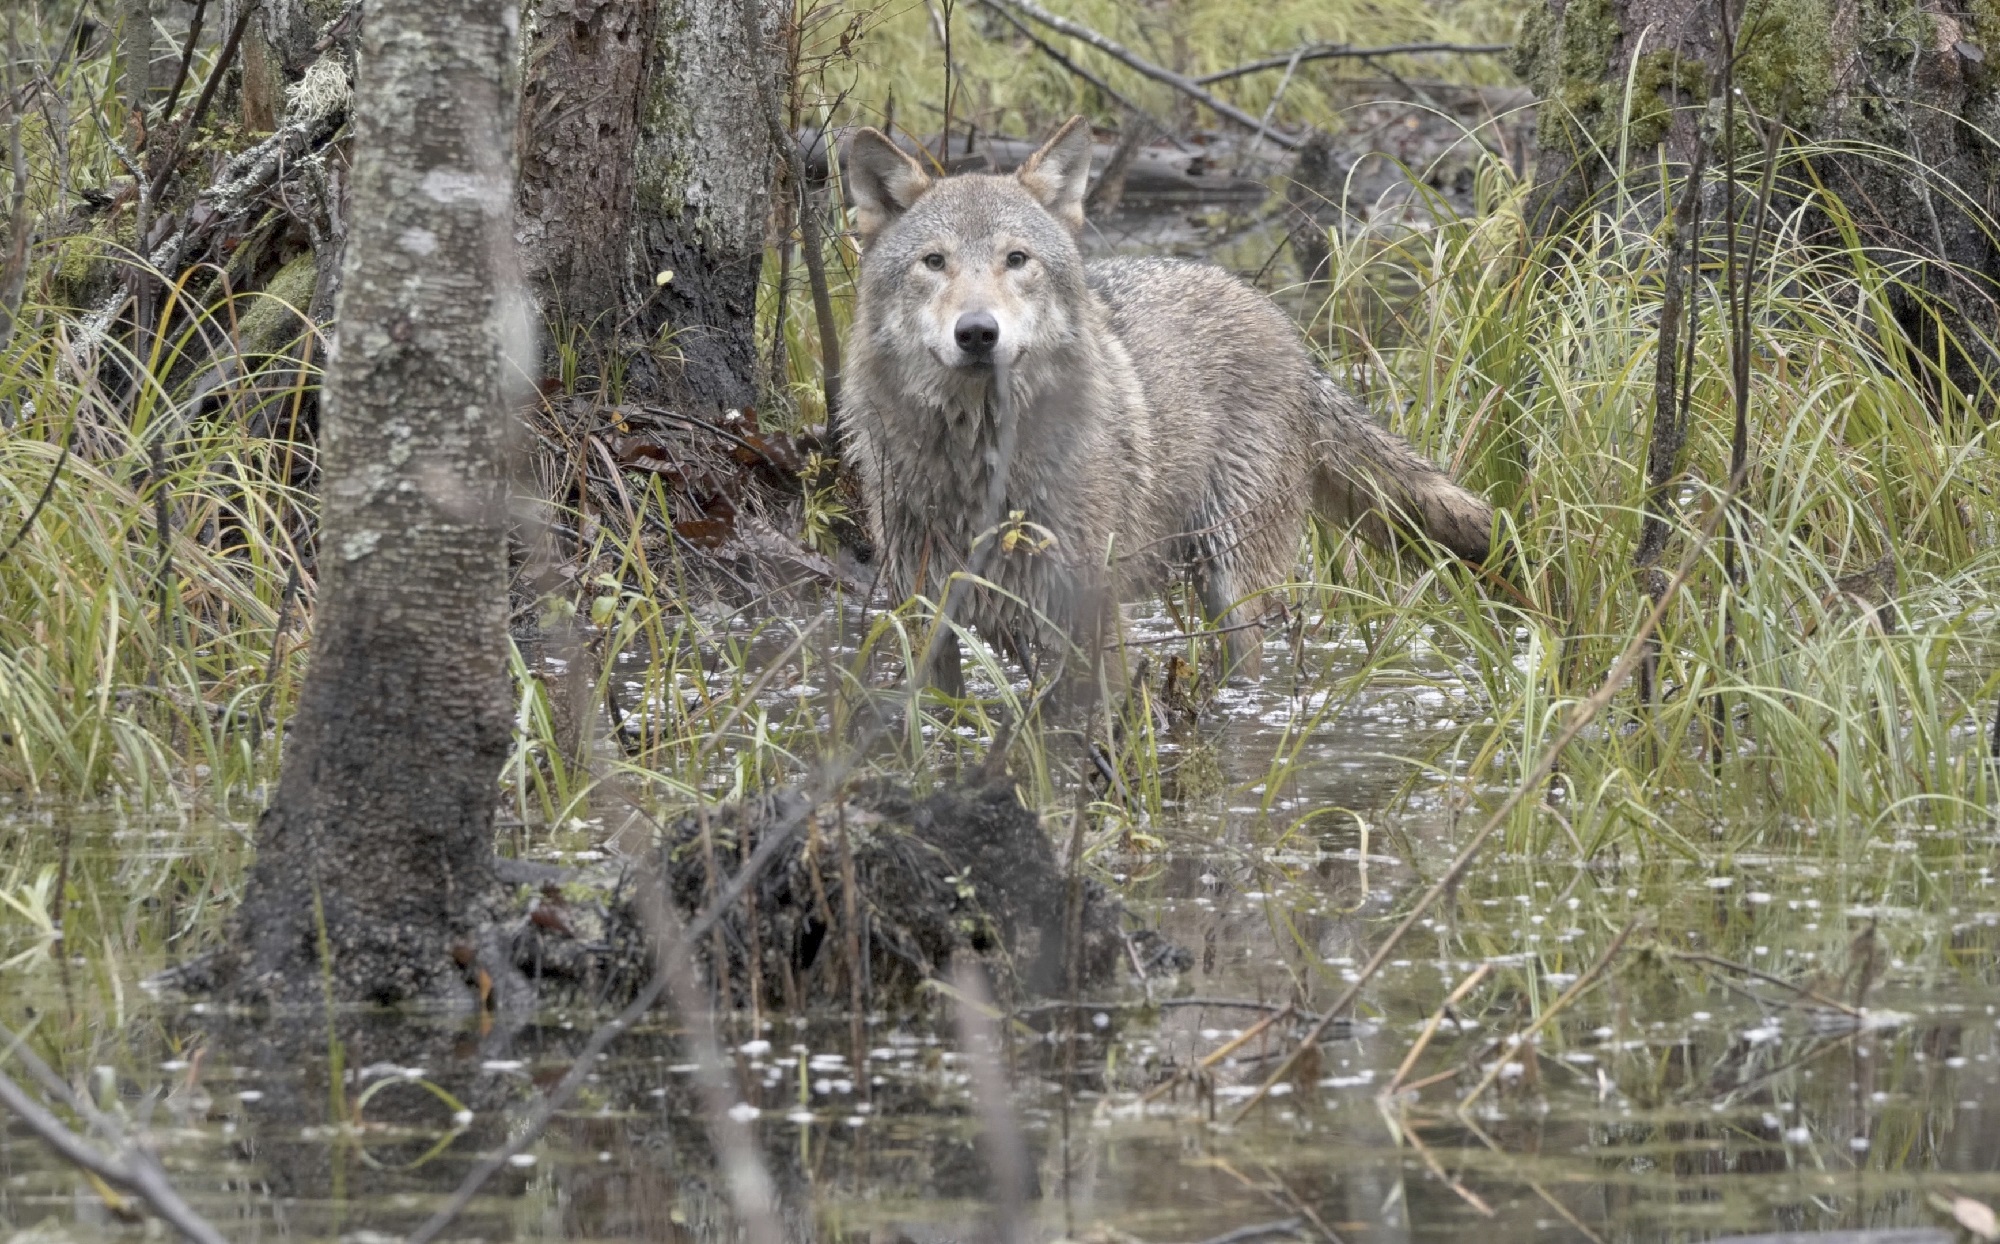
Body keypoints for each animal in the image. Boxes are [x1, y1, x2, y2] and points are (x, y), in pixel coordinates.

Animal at [836, 117, 1496, 692]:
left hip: (1233, 586)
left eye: (1016, 260)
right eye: (934, 261)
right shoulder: (925, 619)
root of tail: (1285, 330)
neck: (980, 461)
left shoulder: (1090, 615)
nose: (977, 332)